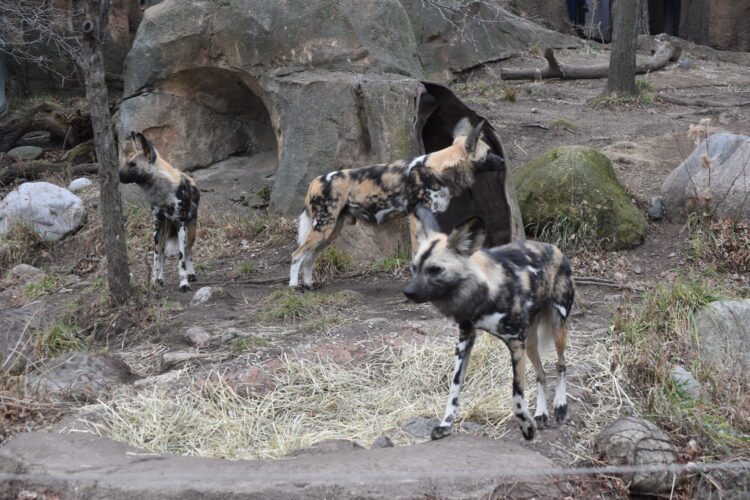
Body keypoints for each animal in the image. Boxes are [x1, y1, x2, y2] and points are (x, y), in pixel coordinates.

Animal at [118, 133, 201, 292]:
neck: (161, 191)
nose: (118, 175)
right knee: (162, 253)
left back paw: (191, 274)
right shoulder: (157, 226)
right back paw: (160, 278)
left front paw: (184, 283)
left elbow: (181, 258)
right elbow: (157, 257)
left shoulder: (180, 225)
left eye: (132, 164)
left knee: (188, 251)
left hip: (191, 229)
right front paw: (155, 281)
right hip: (163, 232)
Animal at [288, 118, 506, 288]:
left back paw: (309, 284)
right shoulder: (415, 217)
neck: (440, 169)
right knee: (297, 255)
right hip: (324, 228)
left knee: (309, 257)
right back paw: (294, 287)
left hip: (331, 231)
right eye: (489, 152)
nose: (503, 161)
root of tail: (316, 181)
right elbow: (417, 251)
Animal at [406, 207, 576, 442]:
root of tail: (555, 249)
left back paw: (560, 406)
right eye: (414, 268)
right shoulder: (465, 339)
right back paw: (541, 413)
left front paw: (526, 427)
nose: (408, 292)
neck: (482, 296)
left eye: (435, 269)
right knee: (541, 374)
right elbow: (454, 387)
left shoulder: (515, 343)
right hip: (531, 343)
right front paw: (445, 424)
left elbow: (516, 396)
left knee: (561, 365)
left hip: (557, 327)